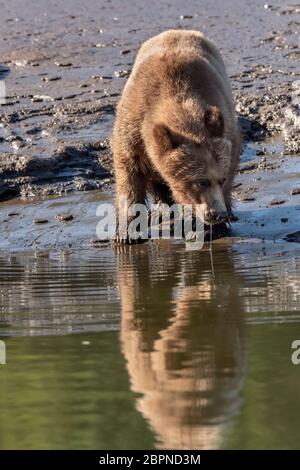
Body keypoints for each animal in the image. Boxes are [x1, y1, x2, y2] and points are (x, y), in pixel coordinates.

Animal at [112, 29, 241, 242]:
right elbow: (129, 172)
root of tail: (180, 31)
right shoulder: (133, 125)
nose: (217, 214)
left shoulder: (225, 126)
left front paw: (212, 228)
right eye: (200, 181)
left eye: (220, 179)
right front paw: (128, 233)